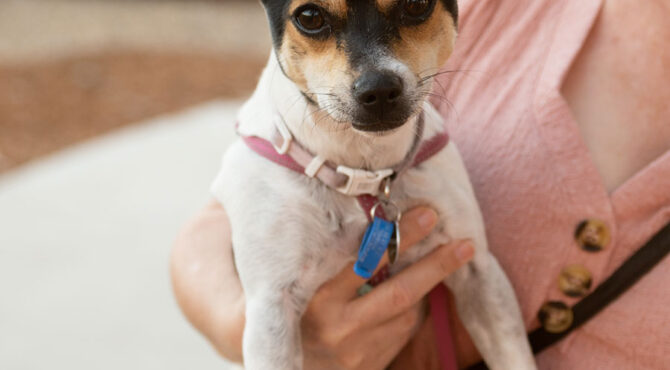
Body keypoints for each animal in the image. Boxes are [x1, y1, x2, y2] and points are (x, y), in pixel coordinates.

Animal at [213, 0, 540, 370]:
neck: (364, 177)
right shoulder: (270, 309)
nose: (379, 89)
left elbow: (514, 356)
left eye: (417, 5)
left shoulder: (478, 269)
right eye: (309, 17)